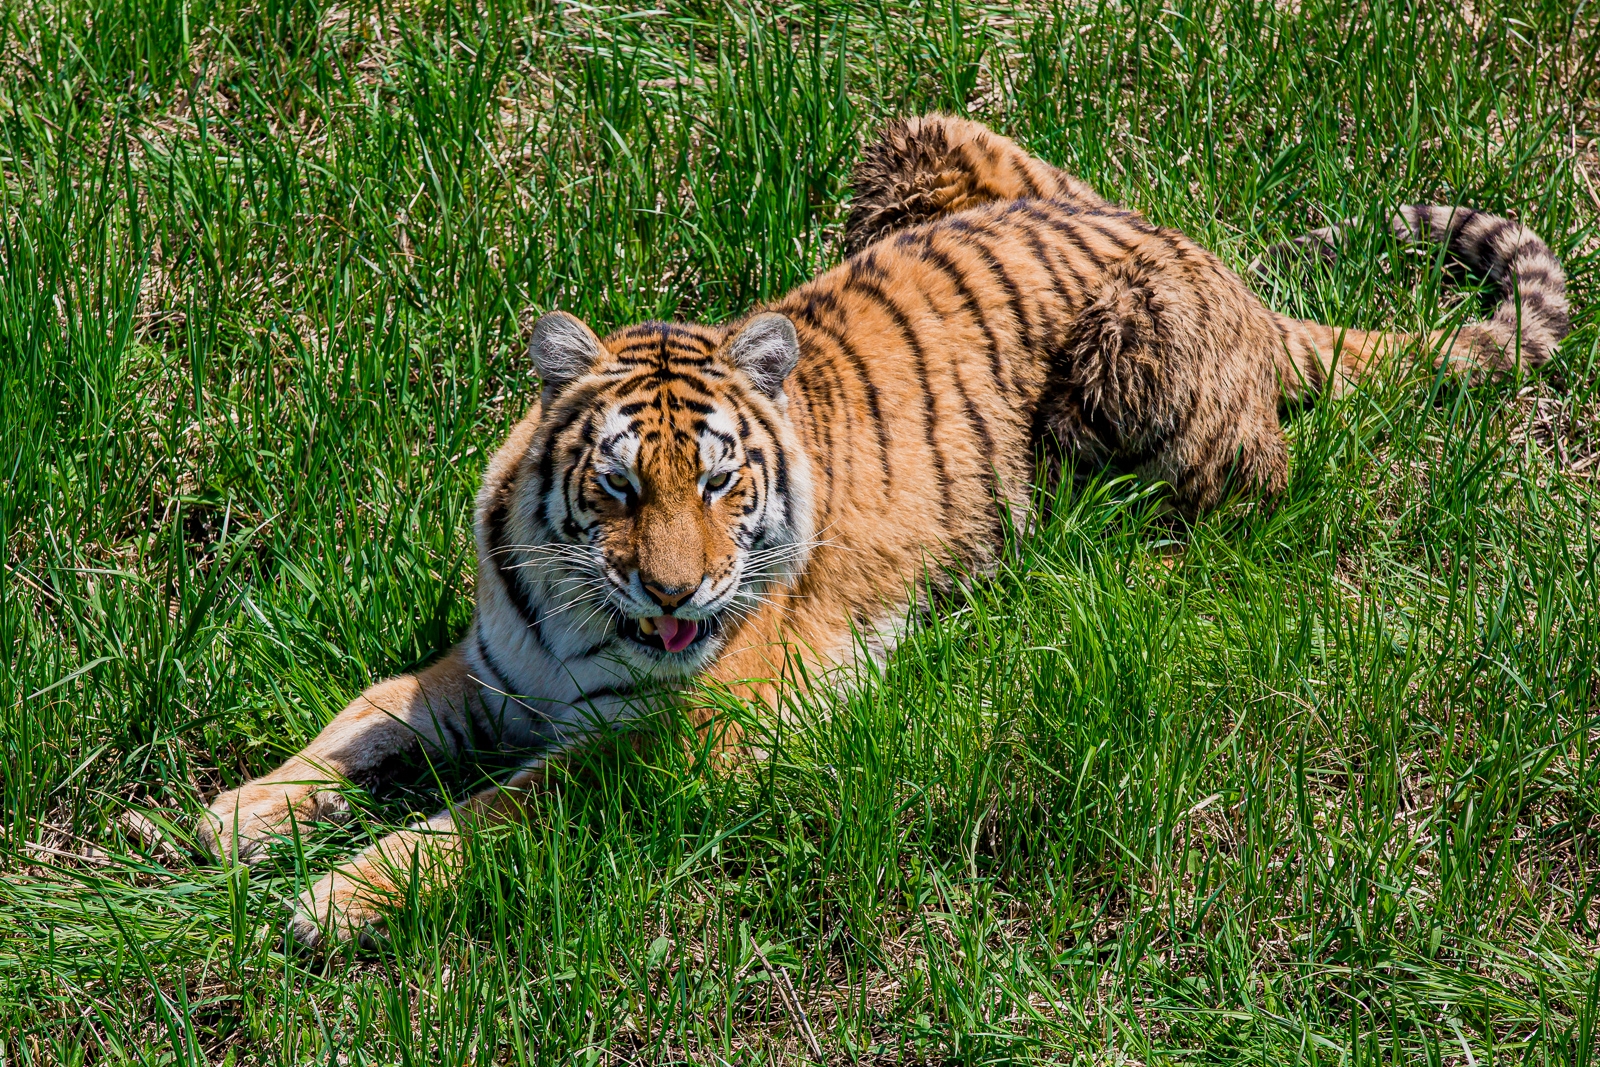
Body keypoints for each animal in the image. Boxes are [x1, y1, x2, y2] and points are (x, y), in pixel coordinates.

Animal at [199, 113, 1571, 948]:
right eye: (619, 489)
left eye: (720, 484)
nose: (679, 597)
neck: (582, 618)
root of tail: (1211, 259)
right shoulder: (490, 666)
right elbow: (365, 714)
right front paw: (222, 817)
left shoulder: (680, 739)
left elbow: (493, 809)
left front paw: (332, 896)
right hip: (926, 141)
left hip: (1143, 359)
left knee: (1234, 491)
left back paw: (1077, 554)